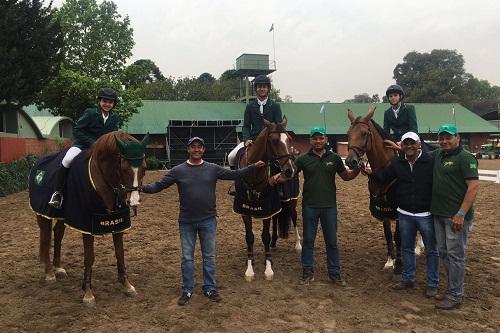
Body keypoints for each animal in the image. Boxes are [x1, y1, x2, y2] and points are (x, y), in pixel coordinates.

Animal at [28, 130, 148, 306]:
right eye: (124, 168)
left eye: (144, 168)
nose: (133, 201)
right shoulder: (86, 225)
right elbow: (89, 257)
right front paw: (88, 293)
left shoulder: (118, 223)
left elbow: (120, 253)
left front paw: (127, 285)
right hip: (43, 214)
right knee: (45, 237)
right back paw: (49, 272)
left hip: (63, 216)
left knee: (57, 233)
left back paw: (58, 268)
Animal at [232, 116, 294, 280]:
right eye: (274, 140)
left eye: (289, 139)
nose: (289, 170)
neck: (254, 173)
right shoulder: (244, 209)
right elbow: (249, 236)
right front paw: (250, 268)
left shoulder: (267, 207)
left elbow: (265, 235)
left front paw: (268, 268)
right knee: (276, 219)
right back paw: (273, 244)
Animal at [344, 105, 402, 274]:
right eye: (348, 134)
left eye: (364, 133)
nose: (350, 162)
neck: (385, 172)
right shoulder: (383, 208)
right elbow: (388, 235)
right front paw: (390, 261)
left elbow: (398, 236)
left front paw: (399, 263)